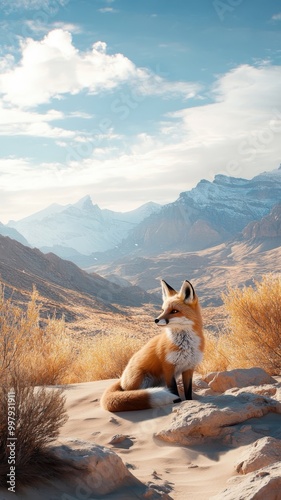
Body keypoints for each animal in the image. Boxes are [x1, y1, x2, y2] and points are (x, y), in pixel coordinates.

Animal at [100, 280, 203, 412]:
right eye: (163, 310)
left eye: (174, 311)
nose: (156, 320)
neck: (185, 346)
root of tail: (122, 379)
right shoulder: (168, 368)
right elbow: (174, 390)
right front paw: (177, 402)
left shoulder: (189, 368)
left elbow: (188, 392)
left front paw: (190, 402)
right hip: (142, 379)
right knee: (134, 393)